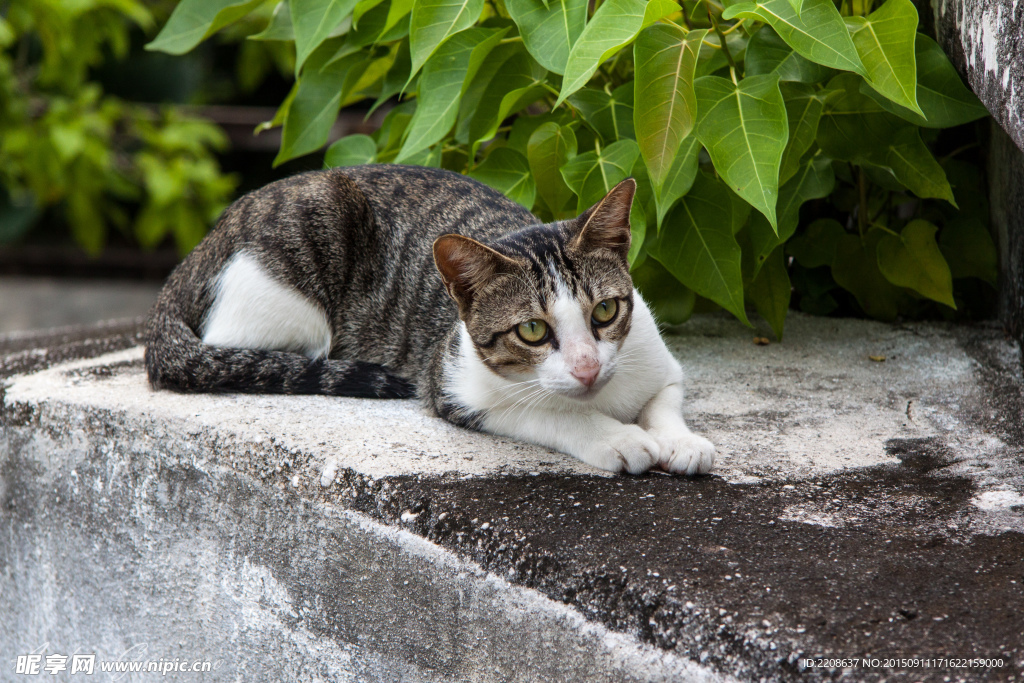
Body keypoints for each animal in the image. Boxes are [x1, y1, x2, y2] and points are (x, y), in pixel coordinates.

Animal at [144, 164, 716, 475]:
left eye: (605, 311)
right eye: (532, 330)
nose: (587, 368)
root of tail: (204, 245)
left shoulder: (658, 362)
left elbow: (664, 400)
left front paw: (680, 440)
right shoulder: (453, 384)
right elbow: (548, 412)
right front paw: (617, 438)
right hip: (289, 293)